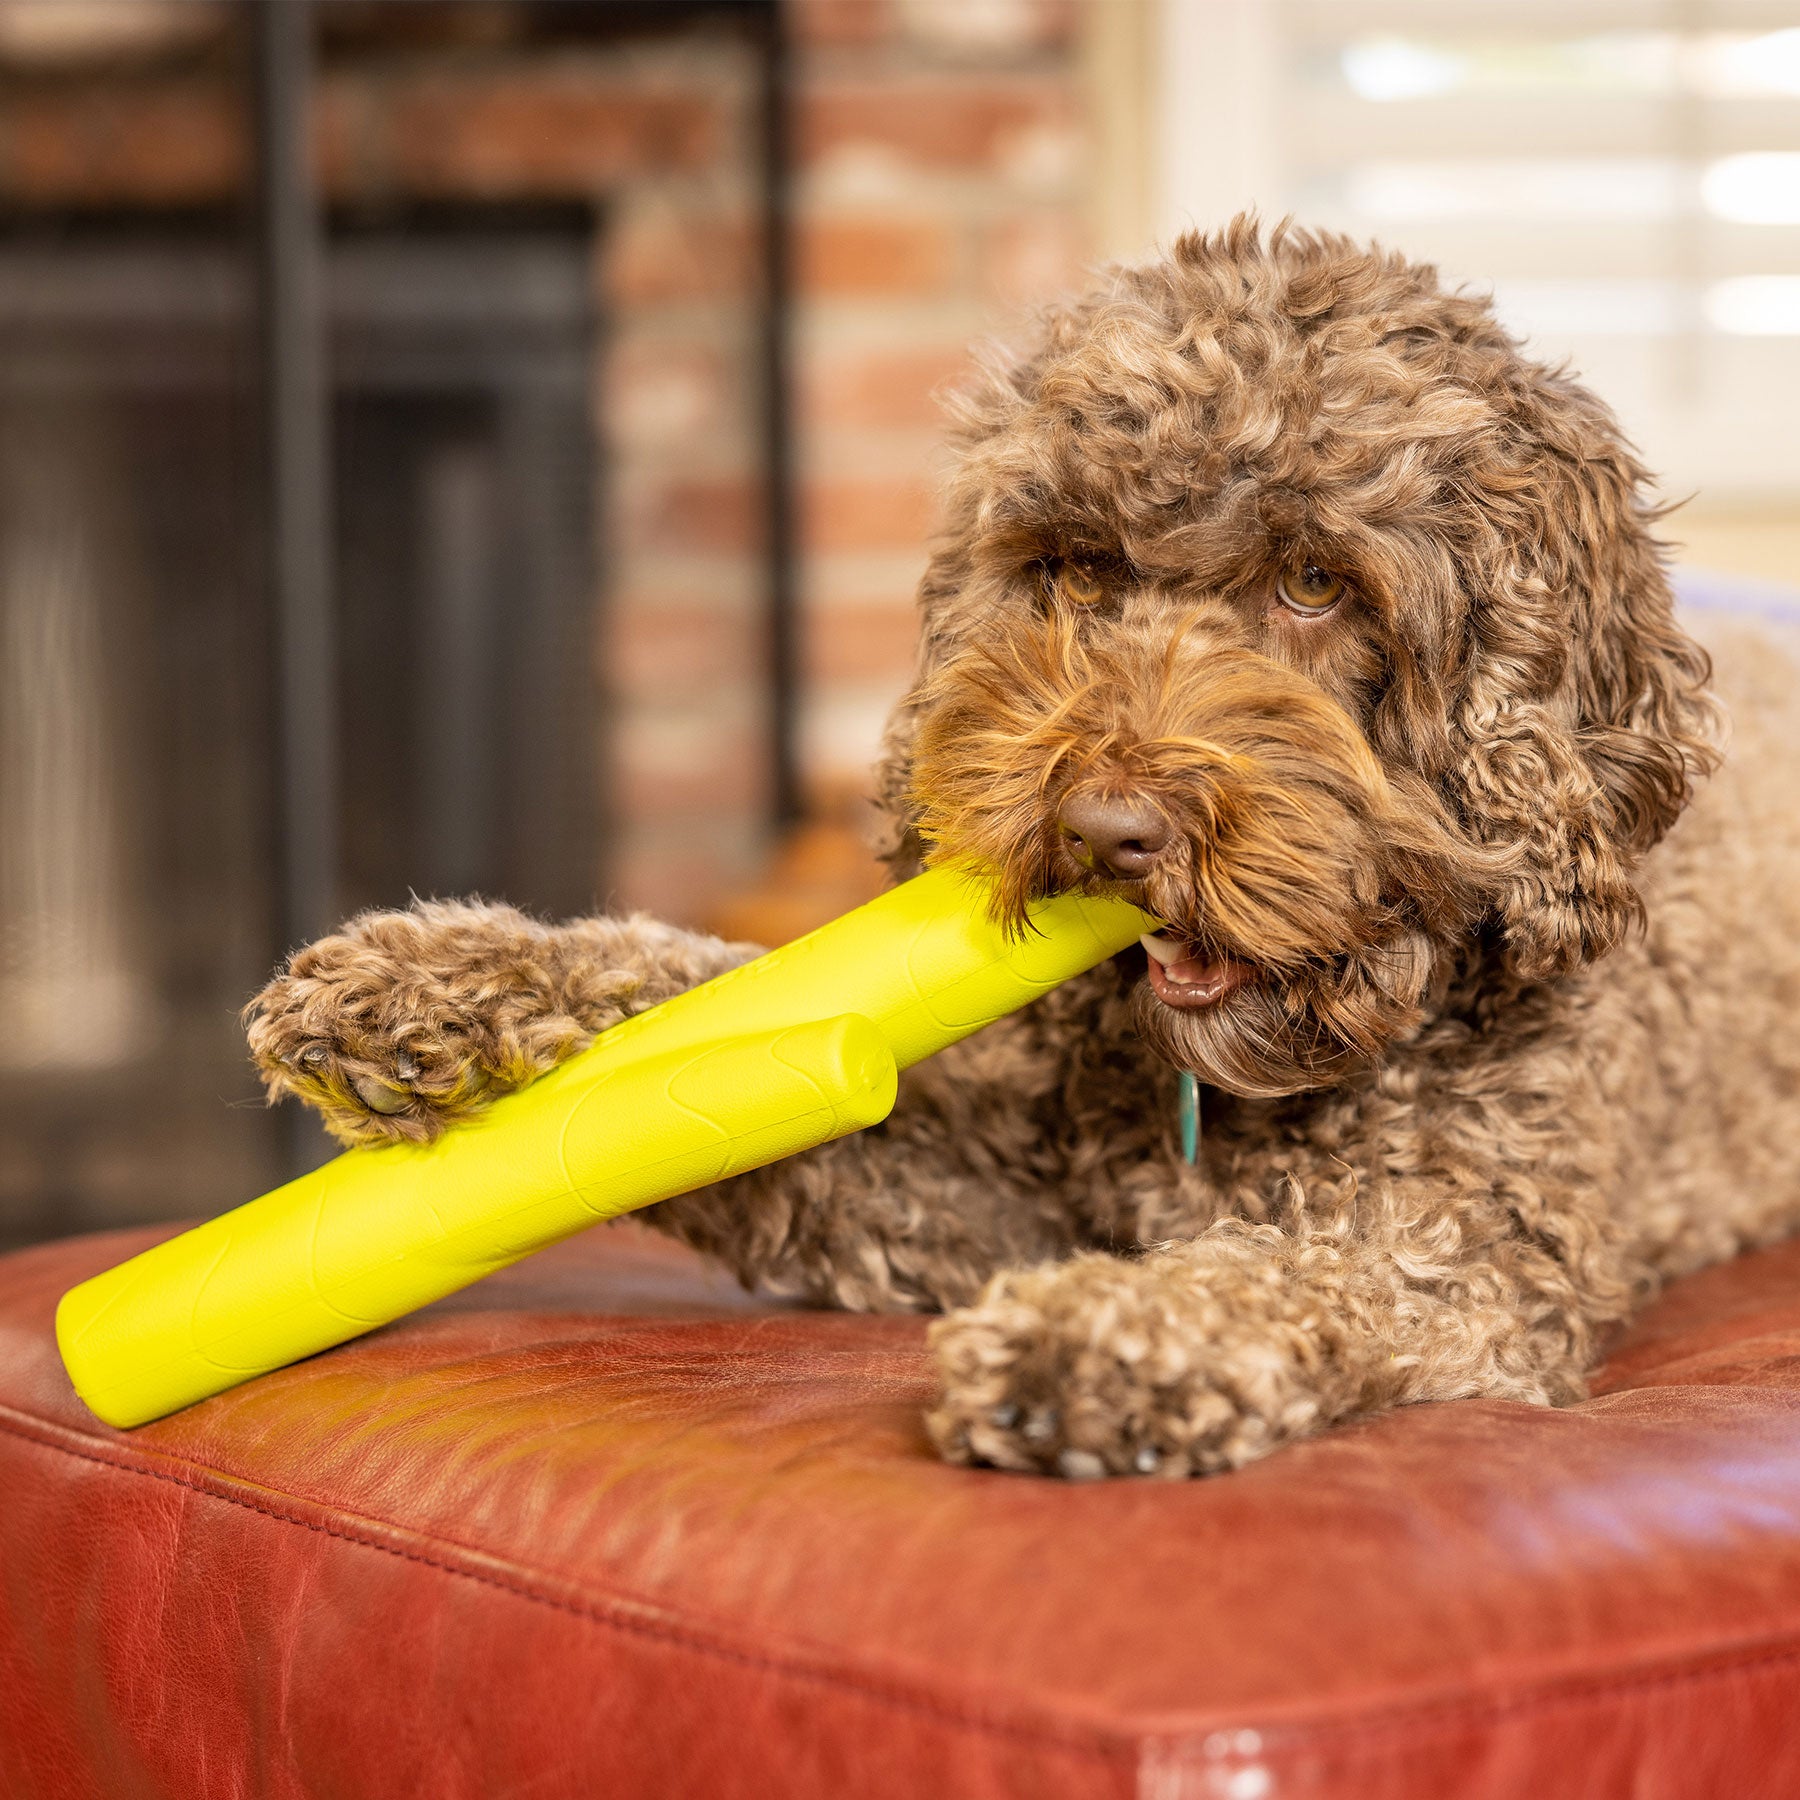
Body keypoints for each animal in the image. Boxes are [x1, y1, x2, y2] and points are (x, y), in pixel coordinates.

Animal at [243, 225, 1800, 1483]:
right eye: (1075, 571)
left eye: (1316, 583)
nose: (1107, 832)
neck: (1215, 1095)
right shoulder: (975, 1196)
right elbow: (718, 1024)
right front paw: (440, 984)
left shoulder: (1475, 1257)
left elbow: (1303, 1281)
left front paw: (1114, 1338)